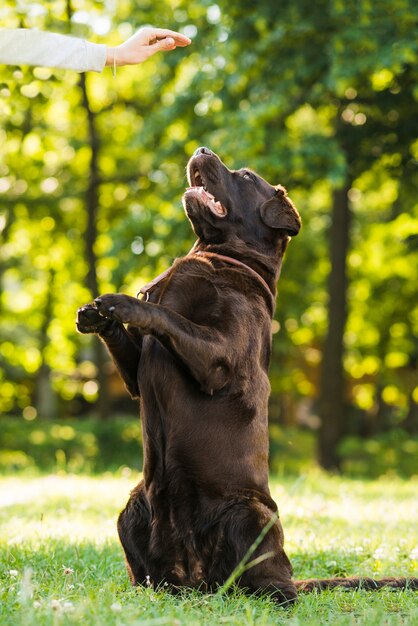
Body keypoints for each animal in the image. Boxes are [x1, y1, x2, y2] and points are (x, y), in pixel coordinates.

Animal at [76, 146, 416, 600]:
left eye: (247, 176)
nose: (202, 148)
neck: (216, 254)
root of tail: (196, 580)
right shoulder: (136, 375)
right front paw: (96, 315)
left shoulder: (219, 356)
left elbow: (167, 316)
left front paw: (124, 303)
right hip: (131, 511)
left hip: (250, 514)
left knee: (276, 585)